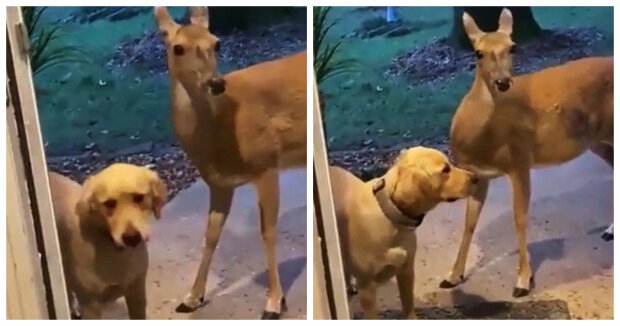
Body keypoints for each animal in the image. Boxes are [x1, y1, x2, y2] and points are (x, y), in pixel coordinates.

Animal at [154, 6, 306, 320]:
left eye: (217, 43)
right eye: (178, 47)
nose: (216, 83)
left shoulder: (267, 164)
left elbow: (267, 232)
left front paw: (274, 303)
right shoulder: (220, 183)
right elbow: (210, 235)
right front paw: (191, 298)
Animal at [332, 147, 478, 318]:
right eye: (445, 170)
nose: (476, 178)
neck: (390, 215)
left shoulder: (406, 272)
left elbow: (408, 305)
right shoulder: (367, 286)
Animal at [440, 8, 616, 298]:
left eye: (513, 47)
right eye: (477, 52)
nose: (502, 82)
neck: (481, 141)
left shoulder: (520, 160)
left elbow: (520, 218)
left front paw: (522, 281)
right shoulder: (478, 174)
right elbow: (469, 223)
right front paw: (452, 276)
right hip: (597, 141)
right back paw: (610, 230)